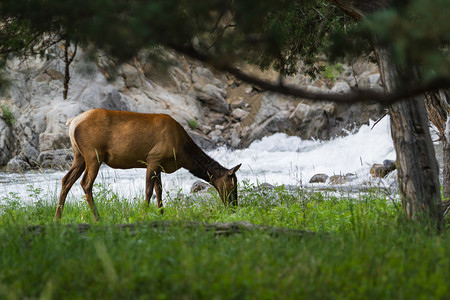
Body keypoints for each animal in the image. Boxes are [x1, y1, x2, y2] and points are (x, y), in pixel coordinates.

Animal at [54, 108, 241, 220]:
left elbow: (159, 190)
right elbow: (149, 191)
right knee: (85, 183)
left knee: (66, 180)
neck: (183, 154)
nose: (234, 208)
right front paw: (144, 215)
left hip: (79, 156)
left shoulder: (159, 166)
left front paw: (161, 214)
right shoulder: (153, 159)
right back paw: (97, 217)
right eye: (233, 185)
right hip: (94, 154)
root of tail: (72, 122)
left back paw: (57, 217)